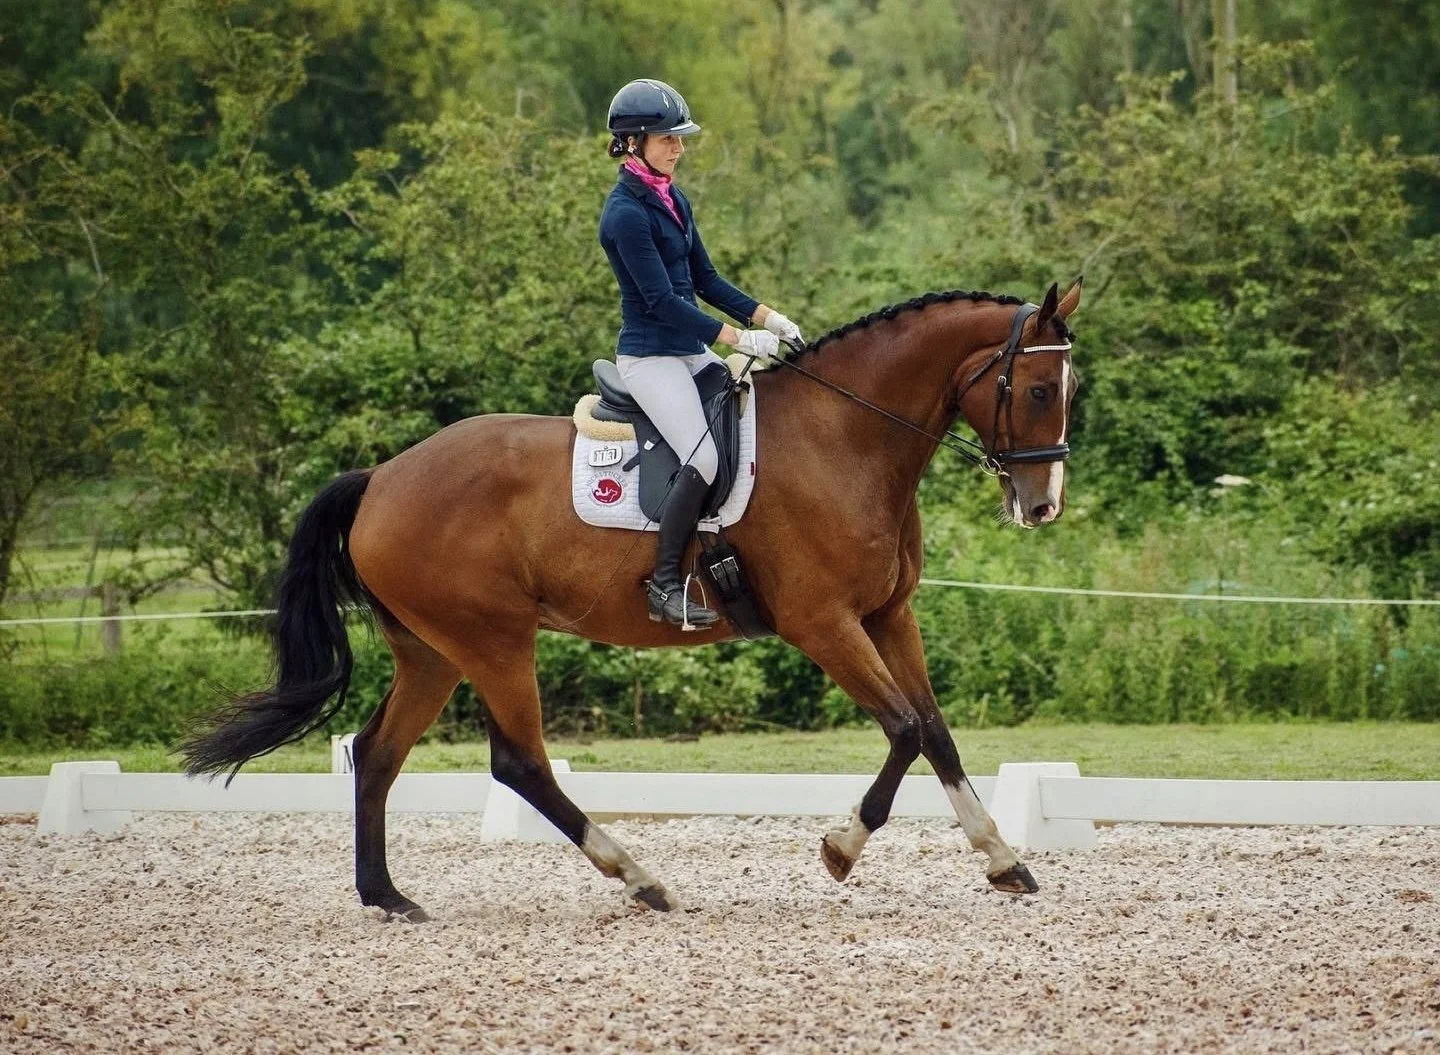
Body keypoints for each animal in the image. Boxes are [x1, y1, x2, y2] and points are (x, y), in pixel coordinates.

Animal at [182, 279, 1083, 921]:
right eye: (1040, 388)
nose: (1042, 506)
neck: (847, 438)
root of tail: (379, 479)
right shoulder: (823, 624)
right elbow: (902, 729)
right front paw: (840, 847)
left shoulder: (887, 615)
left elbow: (935, 729)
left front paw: (1003, 858)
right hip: (493, 639)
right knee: (520, 762)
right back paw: (642, 879)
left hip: (432, 651)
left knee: (377, 753)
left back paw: (389, 897)